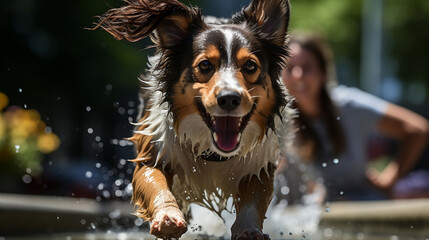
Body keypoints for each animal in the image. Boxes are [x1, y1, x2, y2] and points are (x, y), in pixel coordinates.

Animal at [93, 0, 292, 238]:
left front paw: (249, 229)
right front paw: (168, 217)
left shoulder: (259, 166)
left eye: (250, 66)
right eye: (205, 65)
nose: (229, 98)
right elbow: (155, 182)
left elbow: (254, 199)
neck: (214, 154)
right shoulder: (153, 150)